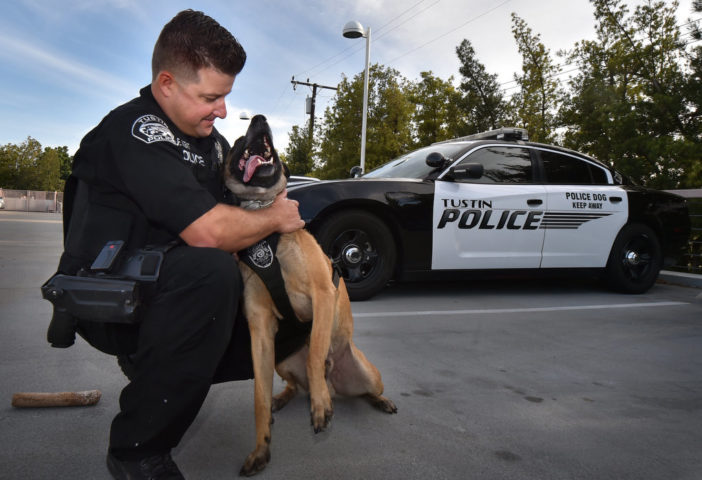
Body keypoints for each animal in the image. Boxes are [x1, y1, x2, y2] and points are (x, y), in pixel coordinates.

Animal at [228, 113, 398, 476]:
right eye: (236, 141)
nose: (260, 118)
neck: (267, 229)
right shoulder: (261, 329)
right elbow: (259, 396)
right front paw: (261, 448)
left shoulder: (322, 295)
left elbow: (316, 352)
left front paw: (321, 404)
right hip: (281, 362)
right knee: (295, 385)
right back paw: (286, 396)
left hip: (368, 374)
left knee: (364, 388)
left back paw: (375, 399)